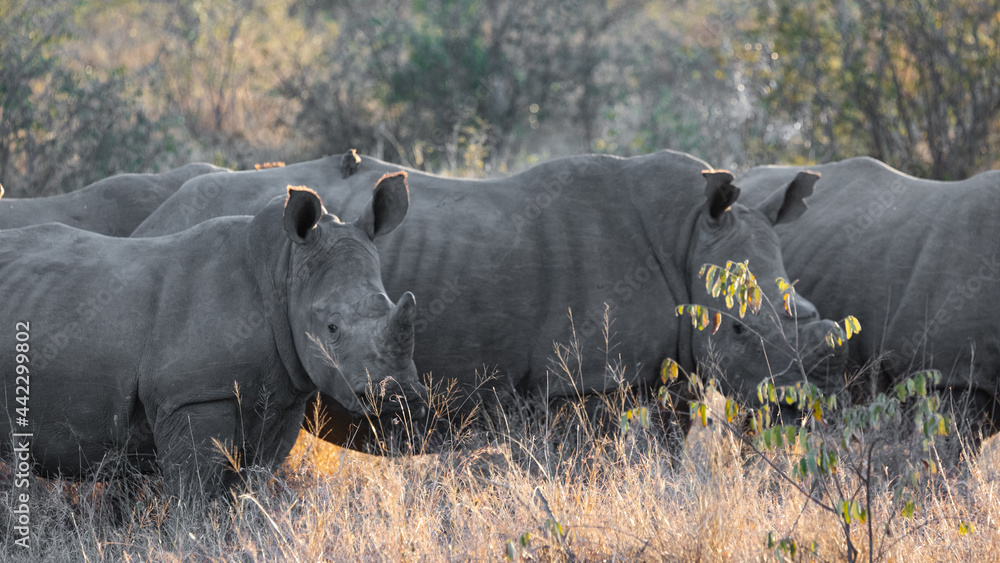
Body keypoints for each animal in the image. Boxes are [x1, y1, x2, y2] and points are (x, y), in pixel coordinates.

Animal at [0, 173, 425, 498]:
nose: (398, 396)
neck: (283, 270)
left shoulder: (282, 398)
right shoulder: (194, 396)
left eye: (391, 305)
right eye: (332, 328)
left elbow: (248, 487)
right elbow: (195, 494)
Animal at [134, 150, 846, 450]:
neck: (688, 233)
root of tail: (153, 219)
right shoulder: (581, 383)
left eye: (805, 318)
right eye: (736, 331)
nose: (793, 407)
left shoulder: (659, 371)